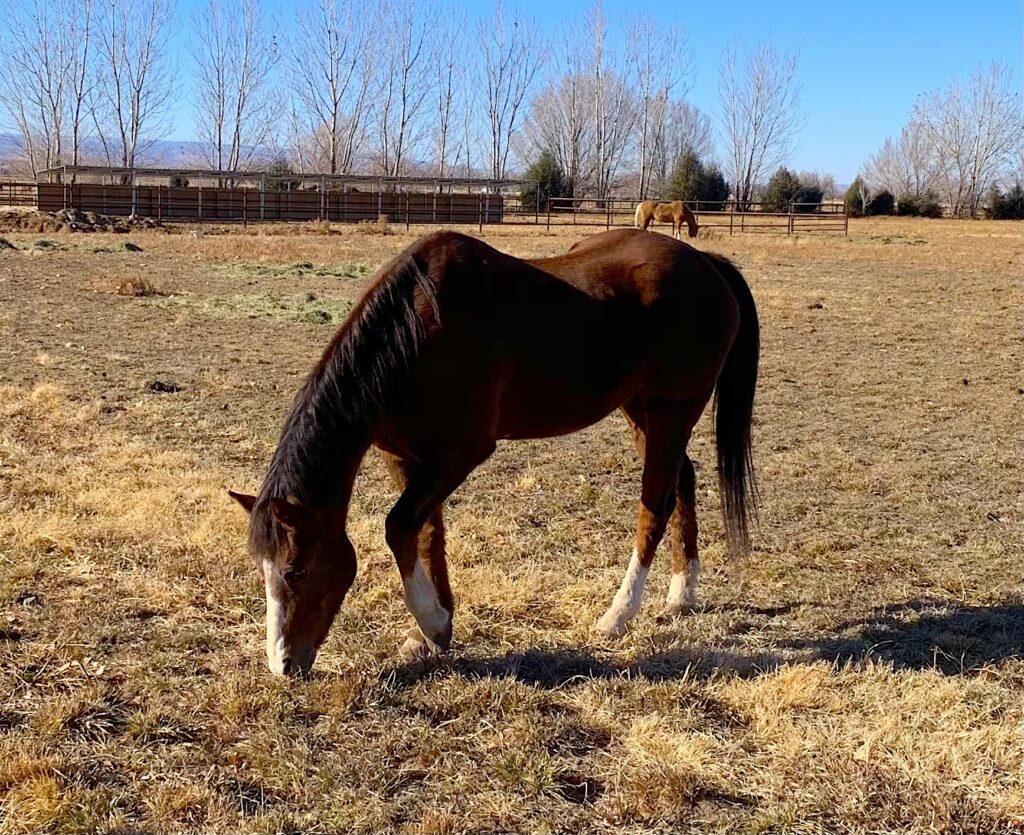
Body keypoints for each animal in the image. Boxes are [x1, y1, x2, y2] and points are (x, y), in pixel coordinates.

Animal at [234, 228, 761, 680]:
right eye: (263, 570)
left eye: (295, 569)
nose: (282, 665)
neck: (415, 332)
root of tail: (706, 264)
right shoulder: (404, 457)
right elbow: (427, 536)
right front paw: (432, 632)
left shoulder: (460, 453)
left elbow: (399, 527)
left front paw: (432, 623)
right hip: (641, 411)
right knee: (682, 482)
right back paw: (682, 592)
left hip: (673, 410)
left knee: (656, 504)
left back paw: (618, 614)